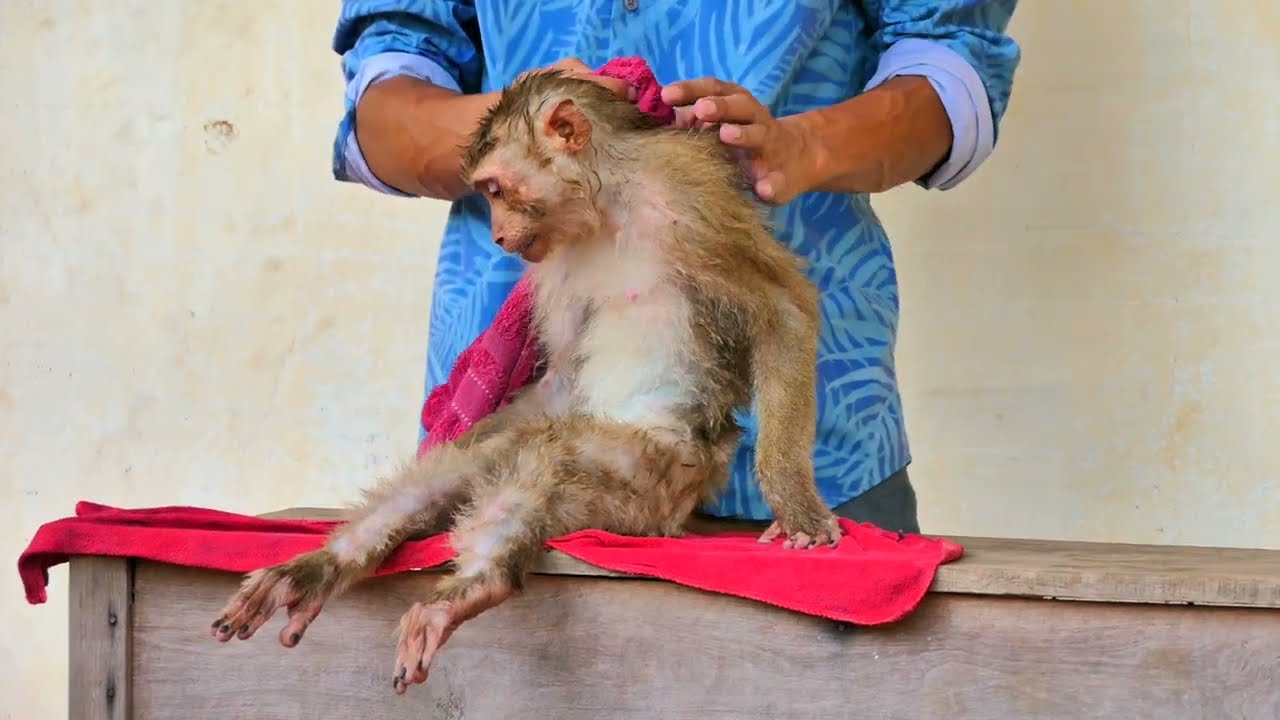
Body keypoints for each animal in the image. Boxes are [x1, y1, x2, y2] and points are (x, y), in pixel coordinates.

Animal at [208, 69, 841, 696]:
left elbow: (782, 312)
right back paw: (329, 564)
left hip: (658, 489)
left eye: (493, 189)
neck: (610, 206)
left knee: (553, 453)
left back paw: (478, 583)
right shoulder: (557, 261)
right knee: (475, 463)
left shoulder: (692, 196)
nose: (496, 235)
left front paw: (795, 504)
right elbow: (561, 378)